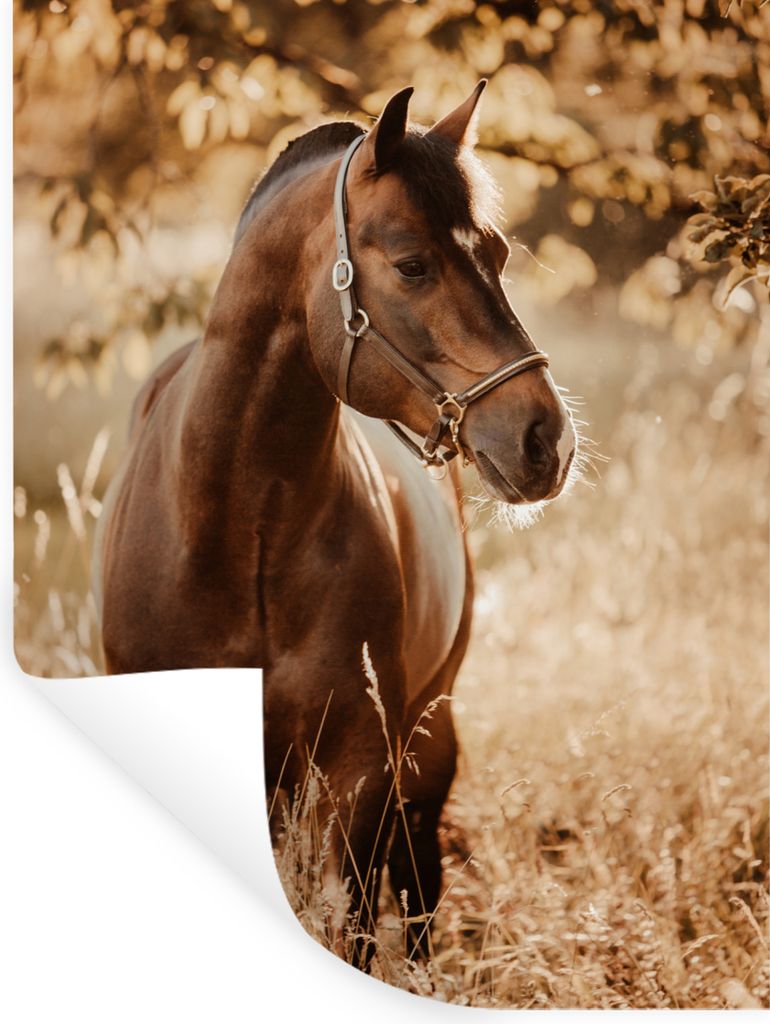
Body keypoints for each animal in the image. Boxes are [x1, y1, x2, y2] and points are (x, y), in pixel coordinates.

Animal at [94, 81, 576, 968]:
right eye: (414, 263)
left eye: (495, 254)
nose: (546, 440)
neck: (234, 534)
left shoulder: (358, 771)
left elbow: (349, 923)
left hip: (425, 743)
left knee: (416, 891)